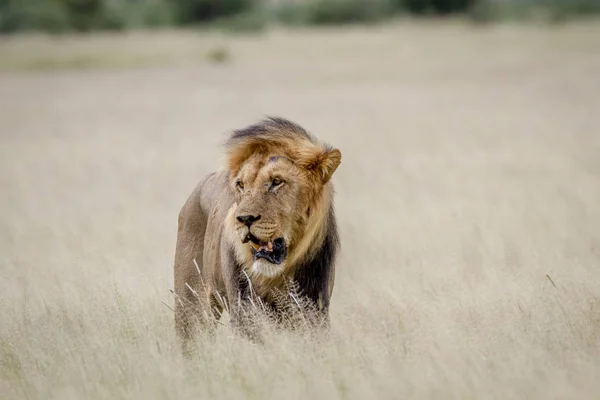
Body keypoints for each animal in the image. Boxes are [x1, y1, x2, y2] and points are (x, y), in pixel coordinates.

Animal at [173, 116, 342, 344]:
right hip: (191, 307)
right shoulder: (245, 312)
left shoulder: (314, 311)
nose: (245, 219)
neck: (276, 278)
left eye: (276, 181)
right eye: (241, 185)